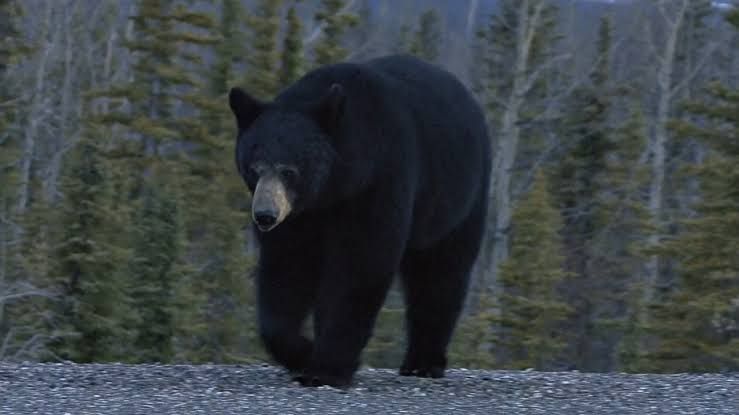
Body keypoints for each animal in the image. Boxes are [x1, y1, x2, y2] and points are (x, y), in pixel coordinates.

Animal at [228, 54, 491, 387]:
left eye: (289, 171)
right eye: (254, 167)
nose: (264, 215)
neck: (334, 188)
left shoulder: (379, 181)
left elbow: (360, 265)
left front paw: (326, 367)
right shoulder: (300, 218)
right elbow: (286, 269)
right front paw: (302, 351)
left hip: (457, 201)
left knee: (441, 275)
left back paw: (423, 362)